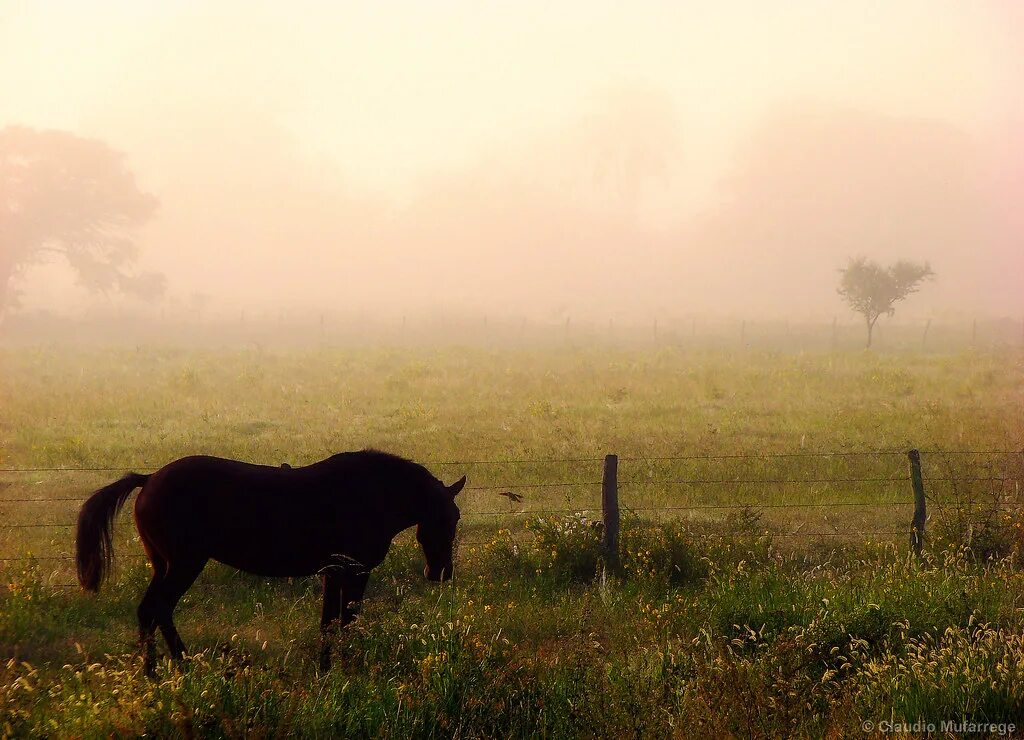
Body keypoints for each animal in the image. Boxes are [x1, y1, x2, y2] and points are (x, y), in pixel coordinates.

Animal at [74, 448, 466, 675]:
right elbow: (343, 623)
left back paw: (171, 668)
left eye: (456, 517)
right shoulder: (352, 572)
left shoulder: (334, 573)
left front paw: (328, 670)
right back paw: (166, 670)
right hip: (184, 564)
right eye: (445, 518)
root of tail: (149, 478)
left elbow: (331, 622)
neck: (373, 492)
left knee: (154, 611)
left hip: (165, 566)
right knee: (157, 609)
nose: (440, 572)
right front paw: (346, 670)